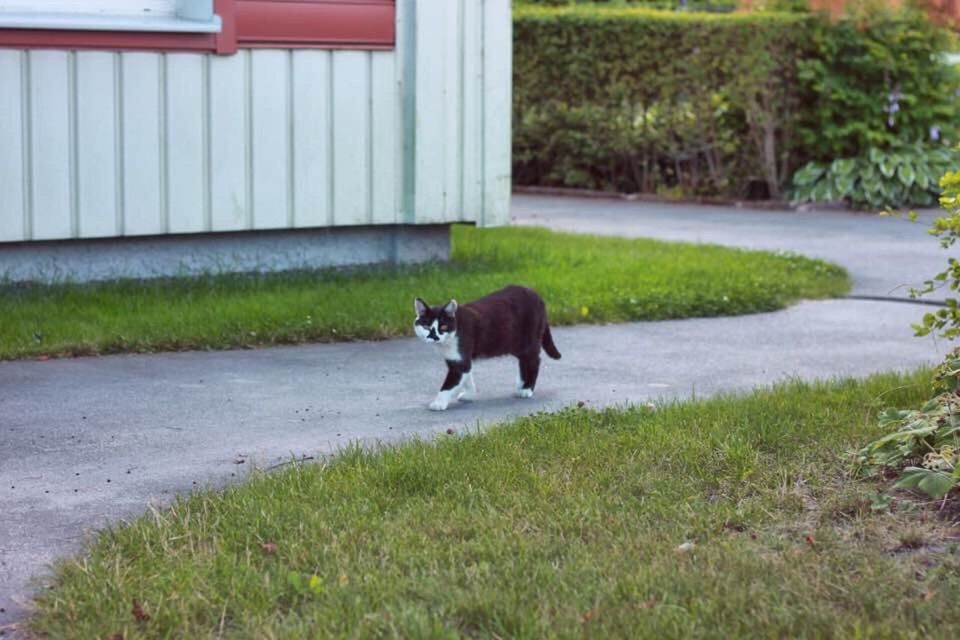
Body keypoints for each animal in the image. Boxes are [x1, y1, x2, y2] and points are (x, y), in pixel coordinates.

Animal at [414, 284, 564, 410]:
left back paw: (527, 389)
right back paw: (521, 384)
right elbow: (467, 376)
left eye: (443, 327)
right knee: (524, 360)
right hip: (514, 342)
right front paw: (470, 394)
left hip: (529, 339)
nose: (434, 337)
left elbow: (450, 383)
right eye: (426, 326)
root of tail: (537, 295)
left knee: (534, 361)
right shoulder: (457, 358)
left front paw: (438, 403)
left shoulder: (460, 359)